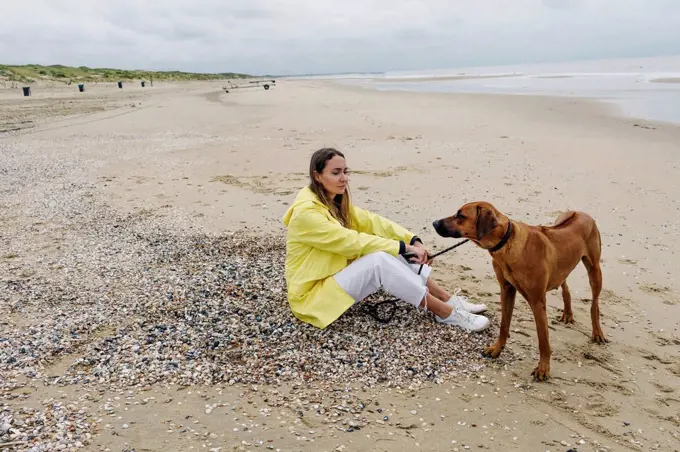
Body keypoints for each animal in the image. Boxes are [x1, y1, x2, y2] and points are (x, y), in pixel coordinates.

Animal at [432, 203, 608, 380]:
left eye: (460, 216)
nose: (434, 223)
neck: (506, 243)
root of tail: (581, 213)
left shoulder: (537, 301)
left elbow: (543, 339)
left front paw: (543, 368)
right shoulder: (506, 290)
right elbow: (504, 325)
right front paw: (497, 349)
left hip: (594, 269)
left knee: (594, 304)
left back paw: (597, 332)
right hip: (562, 264)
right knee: (564, 285)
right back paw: (568, 314)